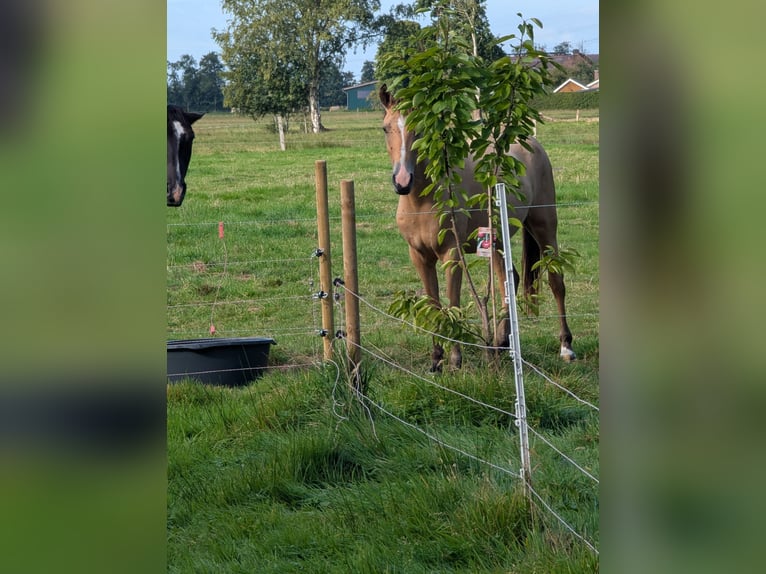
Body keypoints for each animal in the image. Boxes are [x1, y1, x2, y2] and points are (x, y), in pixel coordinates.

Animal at [379, 84, 575, 372]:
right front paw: (436, 360)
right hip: (496, 240)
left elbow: (453, 302)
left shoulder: (452, 254)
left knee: (555, 281)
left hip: (544, 225)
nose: (402, 181)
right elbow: (433, 304)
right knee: (510, 280)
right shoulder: (419, 256)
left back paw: (566, 347)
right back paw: (500, 342)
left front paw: (455, 360)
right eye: (385, 128)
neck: (422, 200)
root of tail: (533, 146)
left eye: (421, 129)